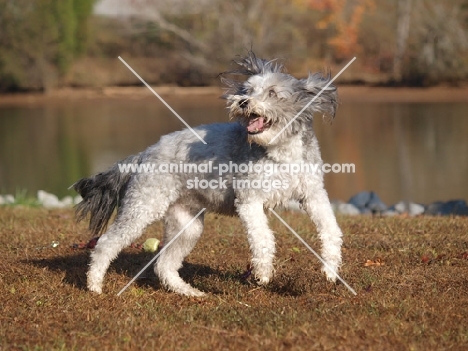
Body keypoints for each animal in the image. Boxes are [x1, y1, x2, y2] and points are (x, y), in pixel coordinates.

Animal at [73, 51, 344, 296]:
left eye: (272, 93)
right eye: (247, 90)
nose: (242, 102)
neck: (280, 152)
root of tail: (145, 153)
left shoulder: (313, 195)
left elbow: (332, 231)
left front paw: (330, 271)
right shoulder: (250, 201)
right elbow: (262, 238)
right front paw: (264, 273)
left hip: (187, 226)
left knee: (164, 265)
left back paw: (188, 292)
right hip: (143, 208)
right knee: (105, 244)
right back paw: (94, 285)